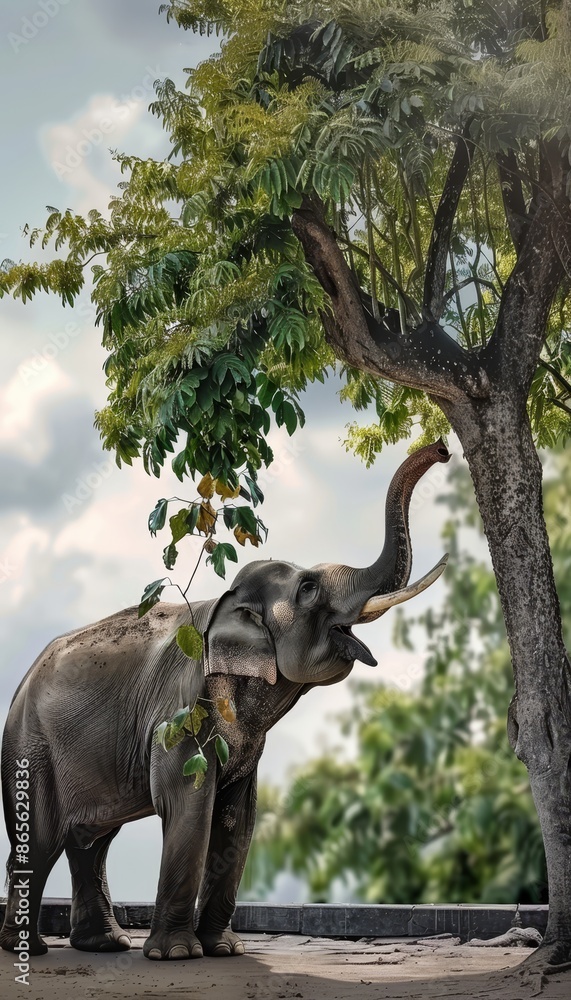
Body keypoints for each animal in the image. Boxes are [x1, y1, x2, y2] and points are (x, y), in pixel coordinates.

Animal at [0, 439, 450, 961]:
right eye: (309, 588)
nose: (443, 448)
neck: (226, 601)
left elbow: (239, 817)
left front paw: (225, 950)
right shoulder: (178, 715)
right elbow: (190, 806)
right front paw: (178, 954)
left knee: (90, 842)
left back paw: (103, 944)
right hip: (30, 749)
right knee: (41, 841)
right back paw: (28, 949)